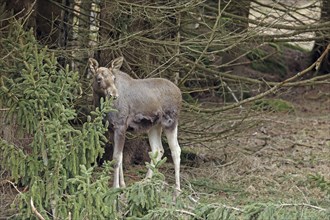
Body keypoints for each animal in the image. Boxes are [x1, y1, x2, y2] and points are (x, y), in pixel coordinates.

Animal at [89, 56, 182, 192]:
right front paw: (123, 184)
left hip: (170, 122)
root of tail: (180, 93)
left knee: (176, 150)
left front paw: (115, 187)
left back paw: (177, 188)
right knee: (158, 150)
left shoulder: (120, 126)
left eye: (114, 78)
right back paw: (146, 181)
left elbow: (116, 158)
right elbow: (120, 156)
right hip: (154, 126)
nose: (114, 95)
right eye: (99, 79)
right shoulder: (111, 129)